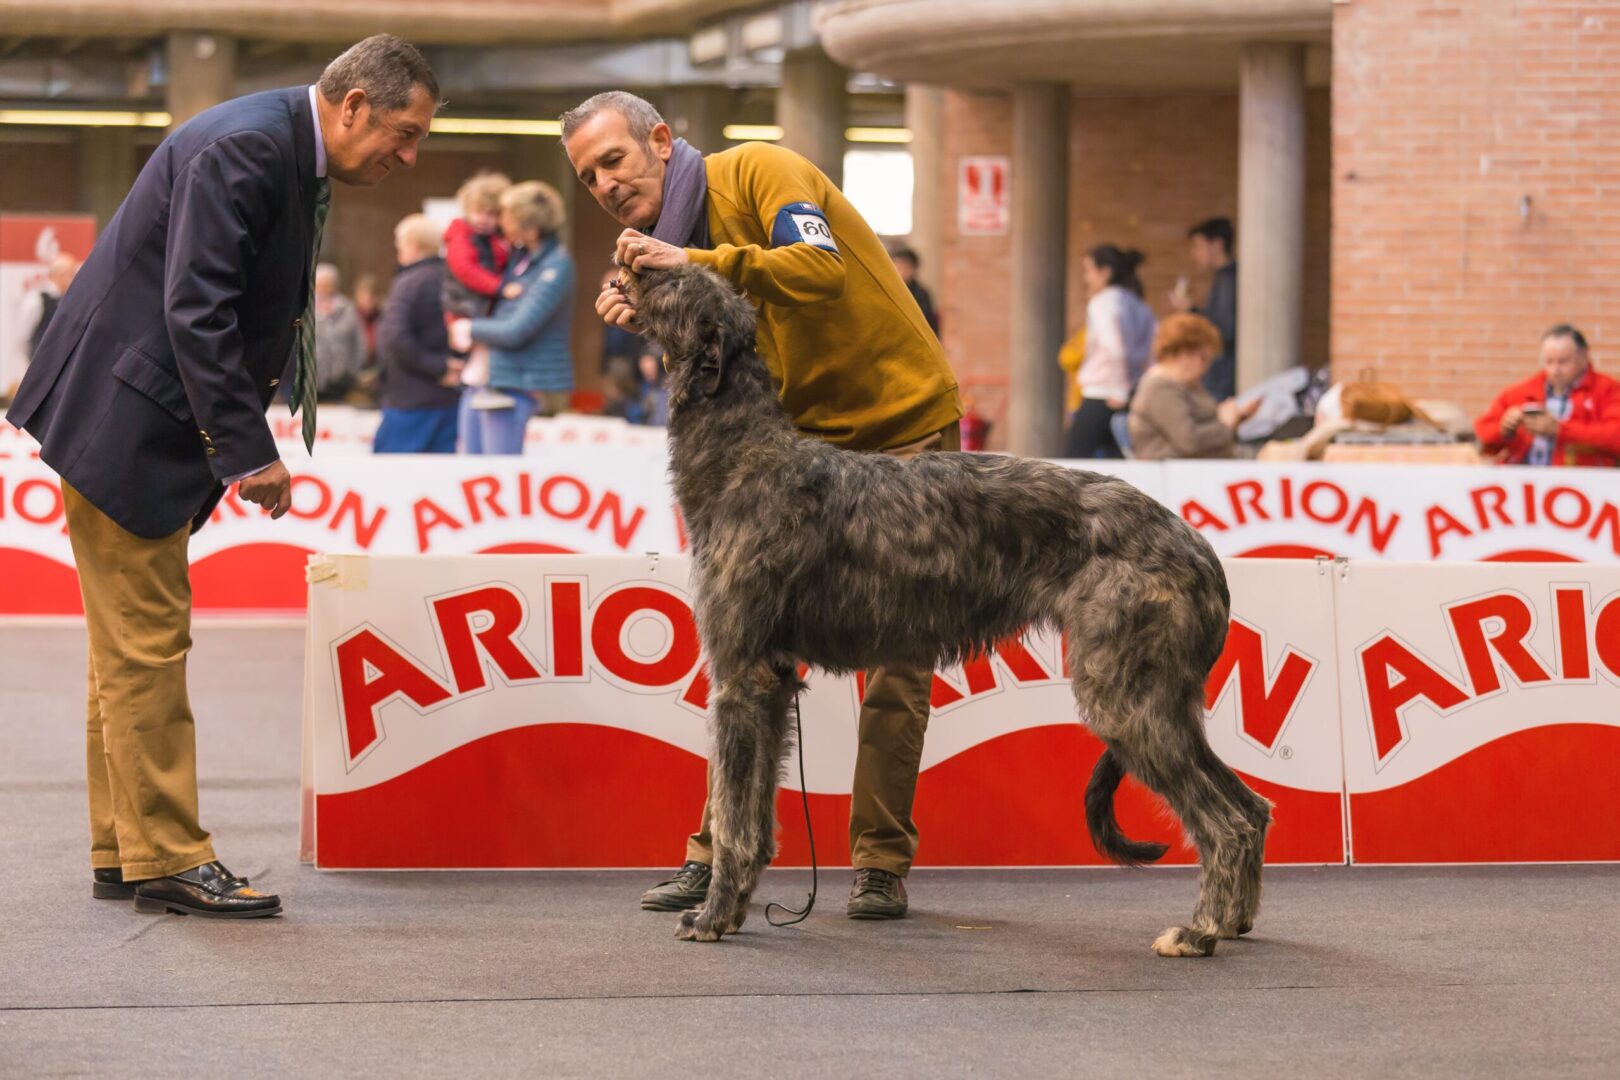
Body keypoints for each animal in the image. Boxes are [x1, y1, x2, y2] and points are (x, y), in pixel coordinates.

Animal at [625, 265, 1270, 958]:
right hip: (1163, 699)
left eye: (678, 279)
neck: (746, 457)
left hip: (1125, 697)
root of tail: (1200, 550)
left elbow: (734, 817)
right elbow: (756, 817)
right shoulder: (771, 683)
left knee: (1226, 820)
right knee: (1252, 807)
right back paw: (1233, 919)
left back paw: (1199, 930)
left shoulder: (739, 678)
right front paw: (734, 906)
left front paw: (713, 915)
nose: (634, 261)